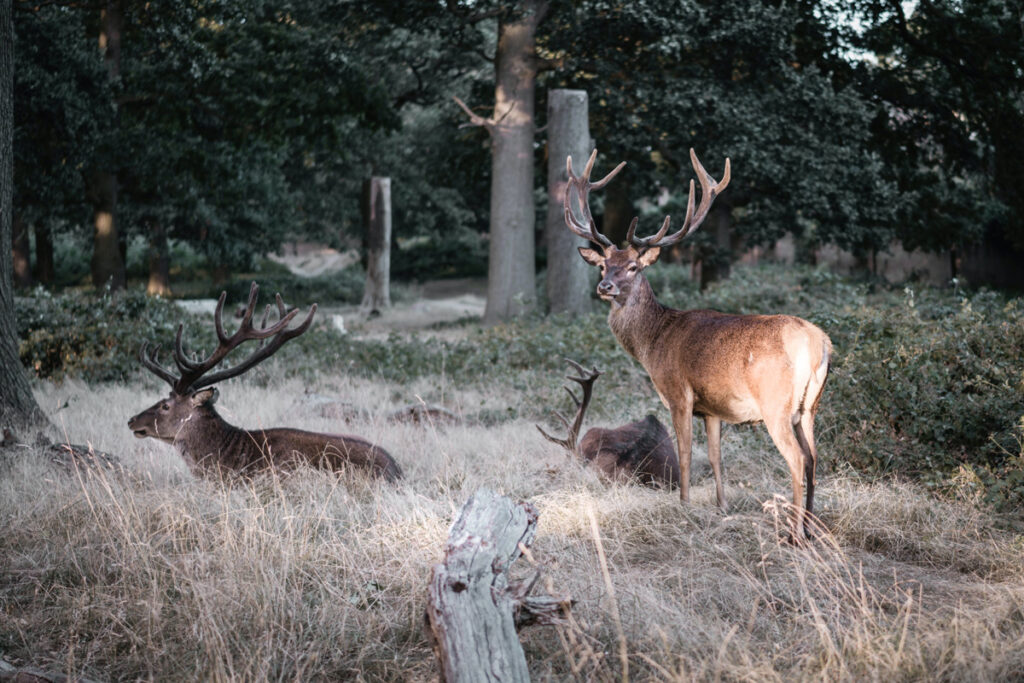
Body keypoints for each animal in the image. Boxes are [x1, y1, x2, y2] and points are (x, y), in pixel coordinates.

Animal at [563, 149, 831, 541]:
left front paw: (685, 507)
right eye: (603, 266)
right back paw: (811, 527)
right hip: (810, 407)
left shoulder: (679, 393)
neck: (653, 342)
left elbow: (687, 453)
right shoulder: (713, 408)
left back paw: (794, 534)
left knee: (797, 459)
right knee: (814, 457)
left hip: (775, 404)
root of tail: (819, 344)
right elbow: (717, 456)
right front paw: (721, 507)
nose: (605, 287)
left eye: (633, 267)